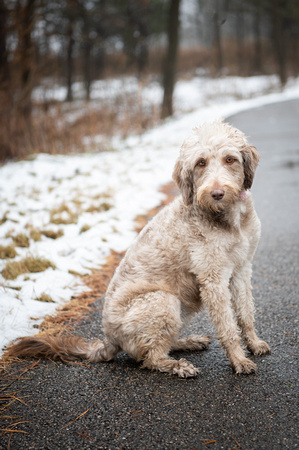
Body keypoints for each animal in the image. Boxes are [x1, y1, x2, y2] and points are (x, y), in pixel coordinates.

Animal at [4, 119, 272, 376]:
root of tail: (109, 339)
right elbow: (227, 326)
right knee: (150, 358)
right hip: (162, 301)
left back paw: (186, 342)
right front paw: (239, 360)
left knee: (158, 345)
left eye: (230, 159)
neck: (230, 220)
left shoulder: (241, 268)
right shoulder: (213, 279)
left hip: (181, 307)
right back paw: (177, 366)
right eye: (201, 163)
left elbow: (245, 313)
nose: (216, 193)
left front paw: (253, 343)